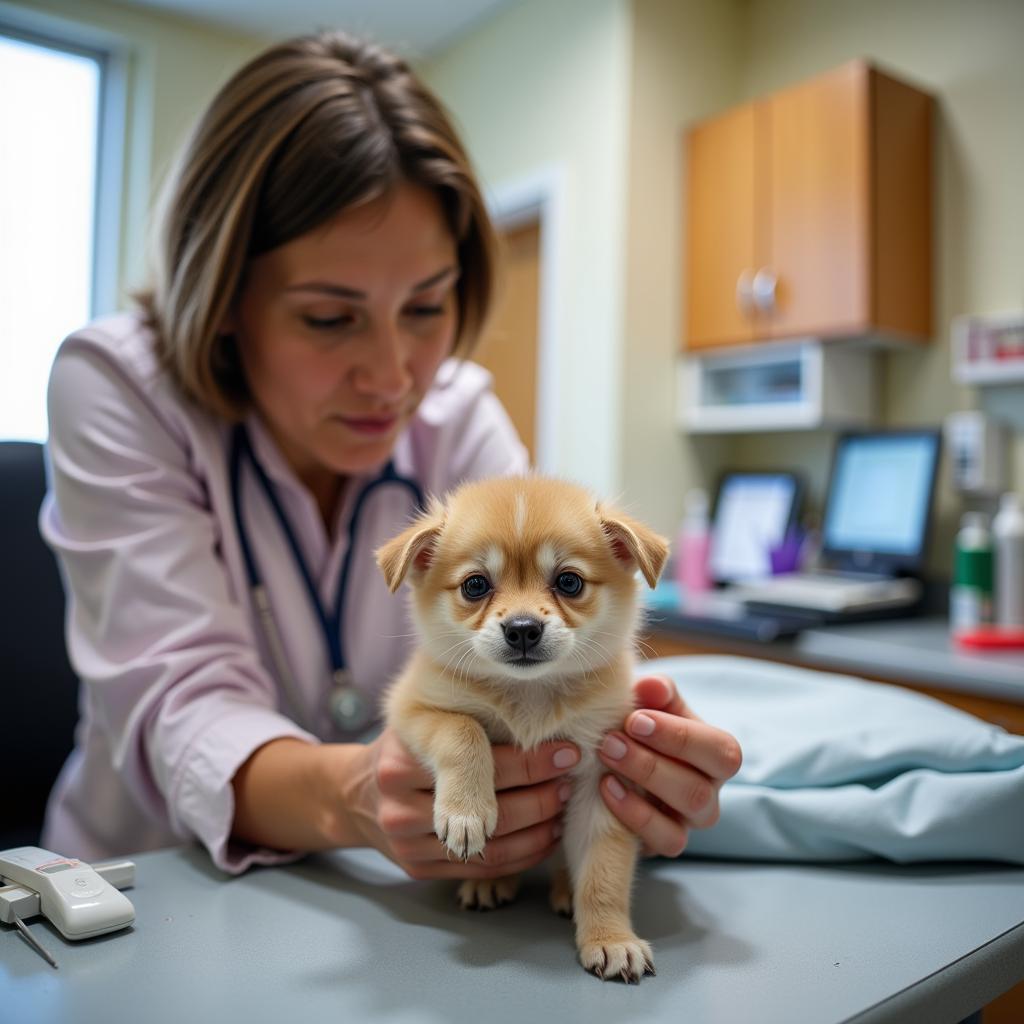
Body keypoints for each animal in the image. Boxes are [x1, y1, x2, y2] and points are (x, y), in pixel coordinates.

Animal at [376, 475, 671, 978]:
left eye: (569, 582)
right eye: (475, 585)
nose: (522, 628)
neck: (529, 693)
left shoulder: (601, 784)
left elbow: (604, 873)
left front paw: (610, 938)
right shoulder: (413, 708)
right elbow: (462, 731)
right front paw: (466, 813)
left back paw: (563, 889)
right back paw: (492, 881)